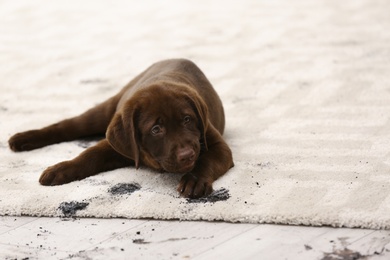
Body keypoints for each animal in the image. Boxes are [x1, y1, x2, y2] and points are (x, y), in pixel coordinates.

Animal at [8, 58, 235, 197]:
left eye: (187, 119)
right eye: (156, 129)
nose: (187, 155)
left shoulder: (215, 144)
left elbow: (207, 161)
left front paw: (194, 180)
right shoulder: (119, 145)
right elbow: (88, 155)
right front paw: (60, 169)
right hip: (104, 111)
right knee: (68, 126)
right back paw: (21, 139)